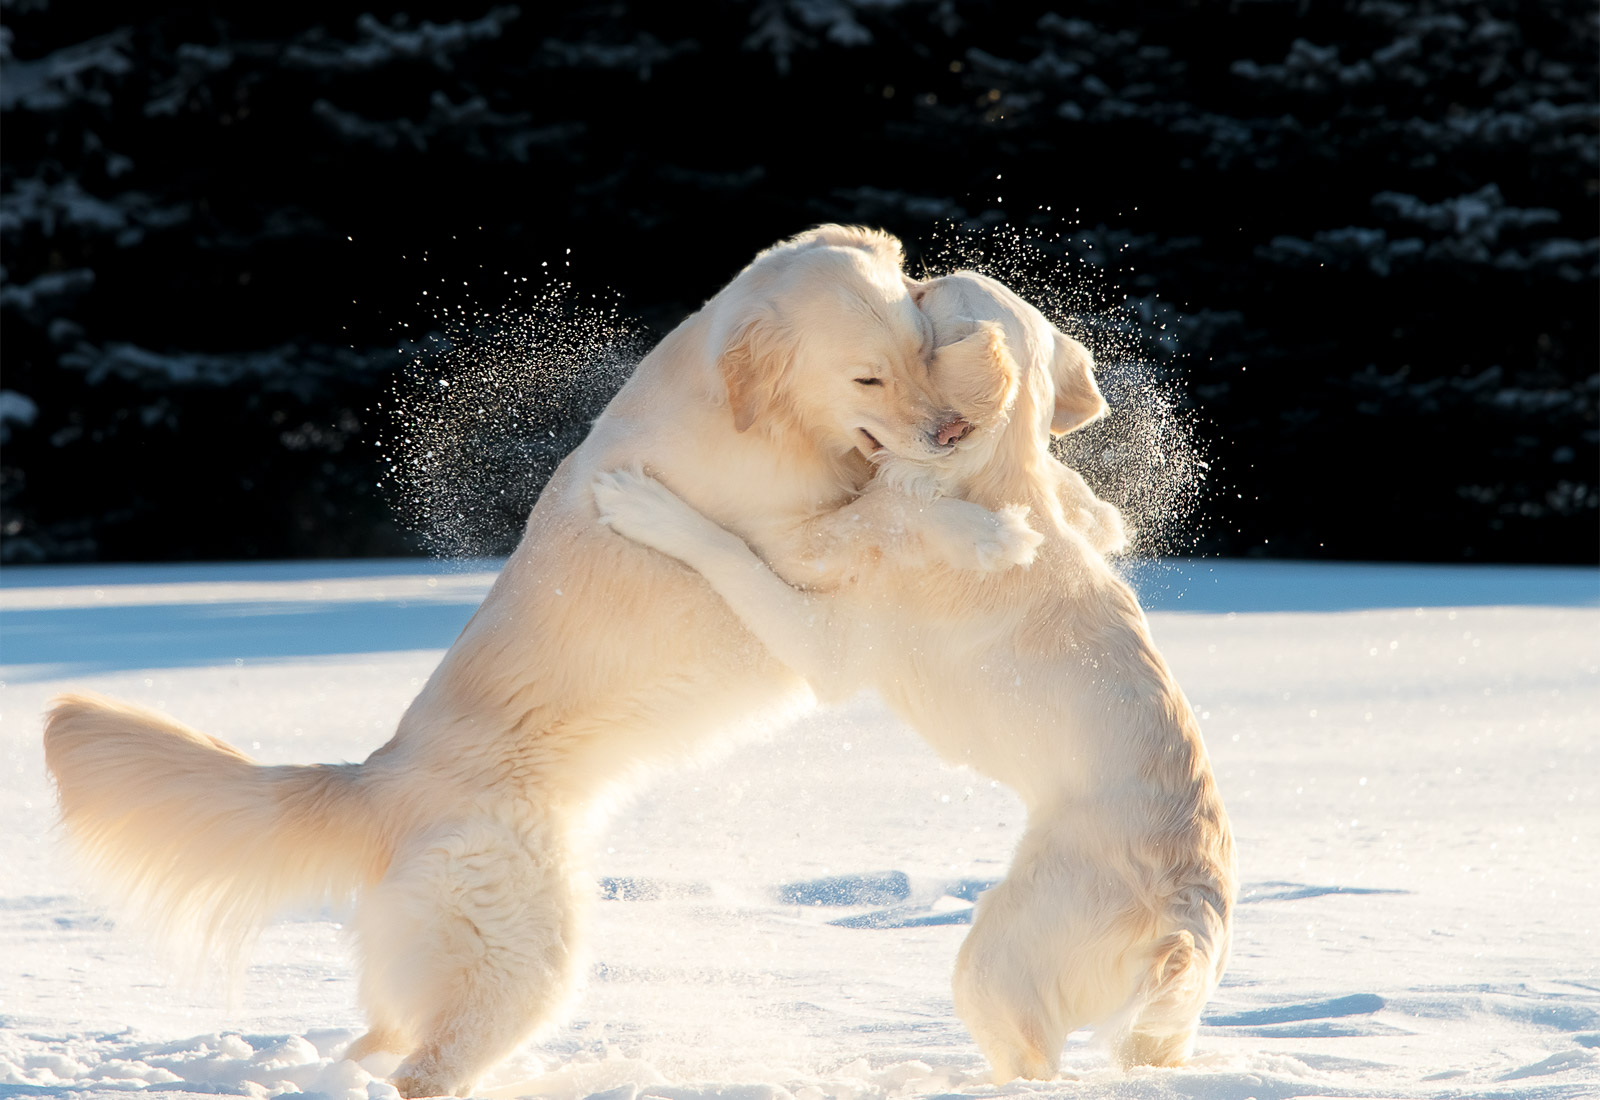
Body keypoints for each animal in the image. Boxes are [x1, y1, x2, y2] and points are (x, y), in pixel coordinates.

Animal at [43, 227, 1036, 1093]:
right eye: (868, 375)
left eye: (922, 348)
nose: (951, 433)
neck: (756, 421)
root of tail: (377, 780)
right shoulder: (787, 545)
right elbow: (887, 512)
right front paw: (989, 535)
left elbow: (889, 501)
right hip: (526, 960)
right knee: (424, 1071)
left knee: (382, 1036)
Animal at [595, 268, 1228, 1080]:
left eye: (929, 301)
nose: (911, 275)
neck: (991, 473)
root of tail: (1188, 918)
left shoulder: (827, 642)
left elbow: (729, 551)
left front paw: (644, 505)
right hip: (1153, 1031)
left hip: (992, 962)